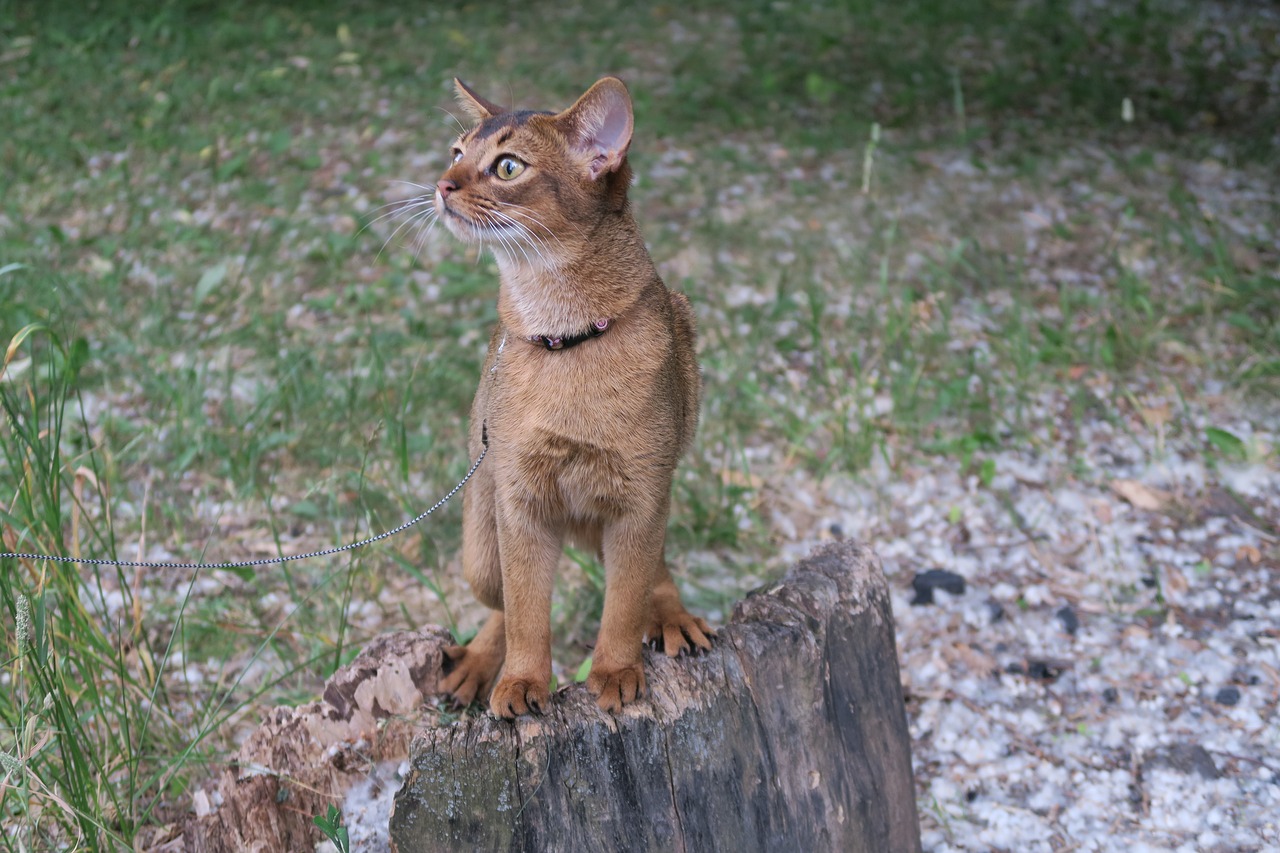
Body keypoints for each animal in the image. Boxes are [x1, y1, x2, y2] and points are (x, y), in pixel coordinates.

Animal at [430, 74, 711, 717]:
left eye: (507, 166)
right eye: (457, 153)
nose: (441, 184)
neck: (565, 339)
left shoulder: (641, 498)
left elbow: (624, 603)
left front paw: (615, 672)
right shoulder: (522, 503)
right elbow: (528, 610)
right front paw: (520, 681)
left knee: (652, 572)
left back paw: (672, 616)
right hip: (480, 544)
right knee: (501, 603)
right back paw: (479, 664)